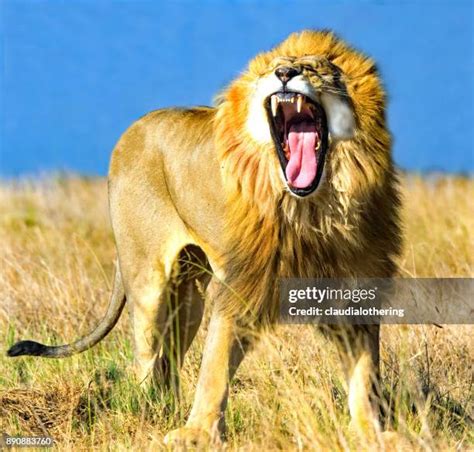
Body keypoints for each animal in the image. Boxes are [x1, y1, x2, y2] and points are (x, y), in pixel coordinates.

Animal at [6, 30, 400, 446]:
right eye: (275, 67)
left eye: (314, 67)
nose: (284, 73)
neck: (312, 209)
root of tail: (132, 129)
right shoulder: (239, 283)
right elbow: (216, 363)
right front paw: (196, 435)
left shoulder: (355, 280)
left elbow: (365, 371)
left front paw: (371, 433)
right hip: (148, 281)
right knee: (145, 354)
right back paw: (151, 415)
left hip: (188, 296)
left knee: (168, 357)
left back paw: (167, 405)